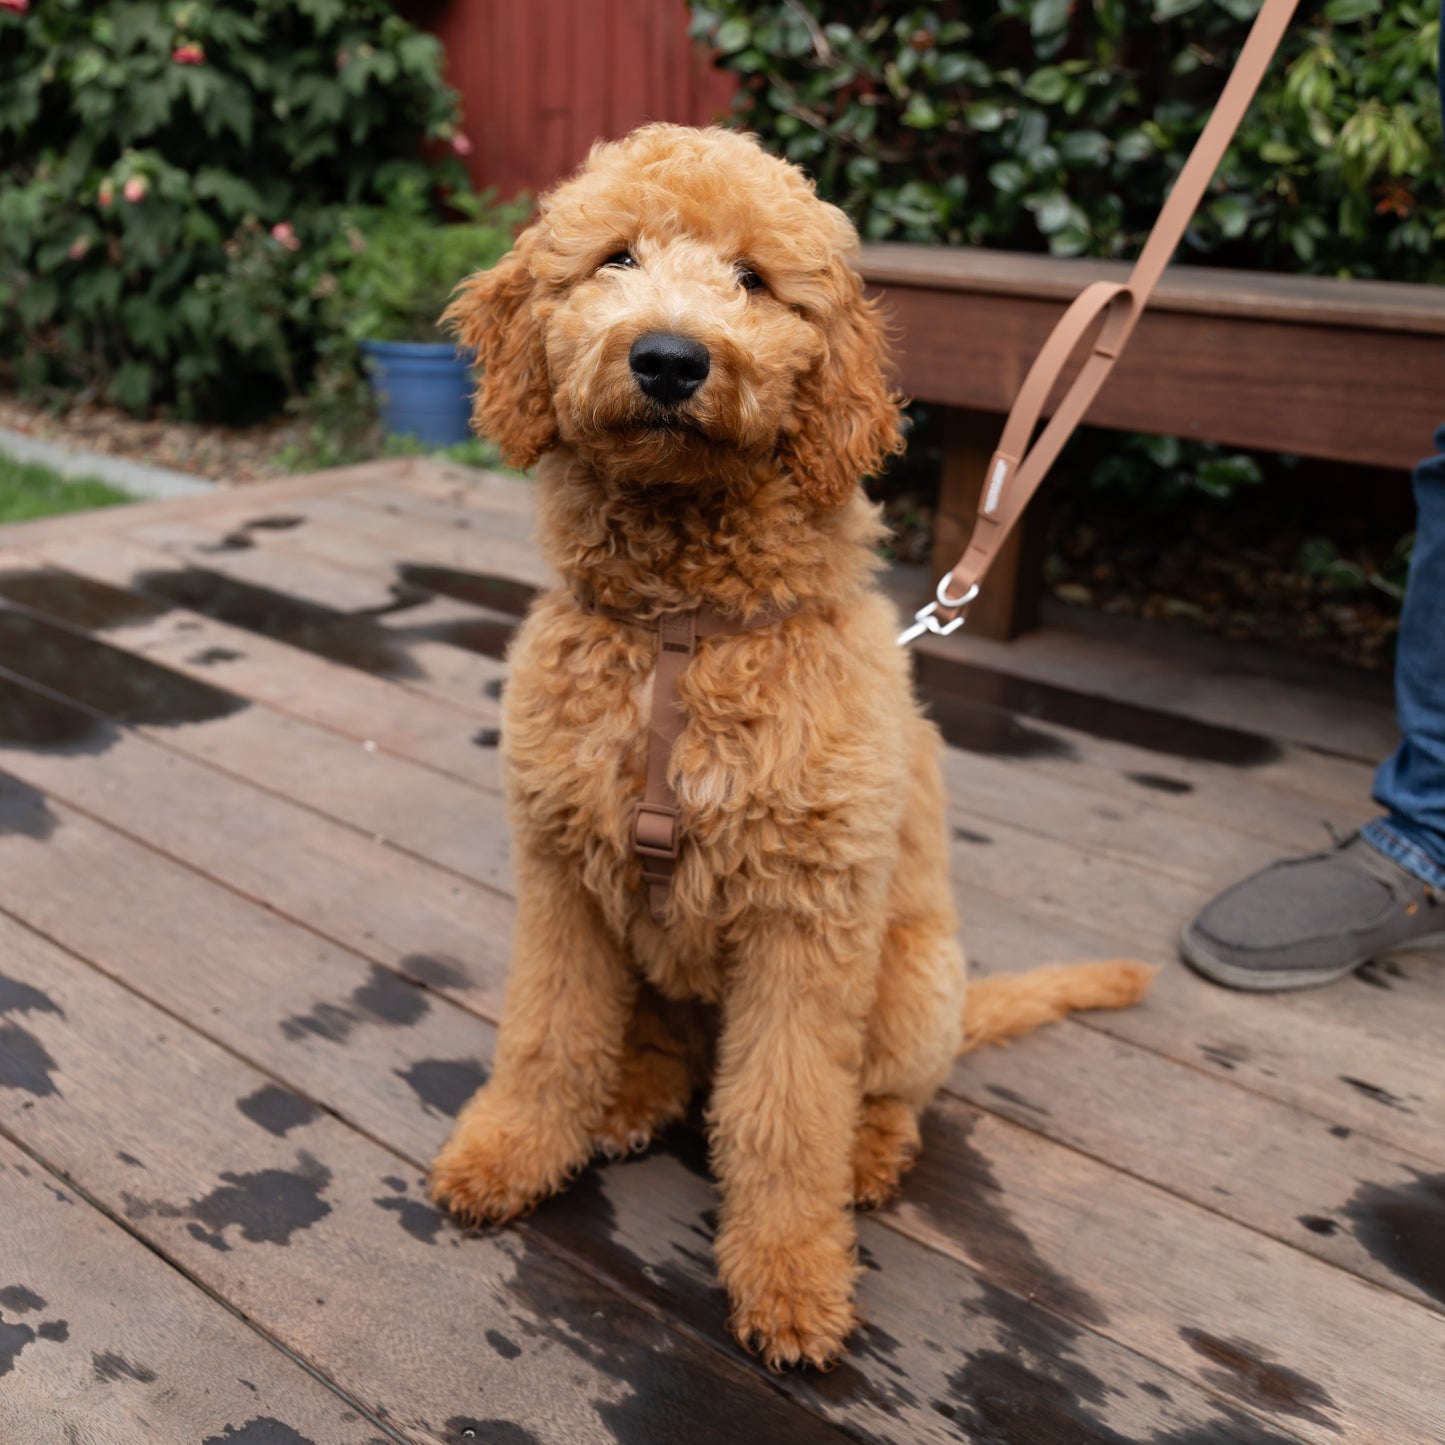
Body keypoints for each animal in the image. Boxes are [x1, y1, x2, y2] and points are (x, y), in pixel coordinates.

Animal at [427, 121, 1150, 1364]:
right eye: (616, 258)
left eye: (754, 280)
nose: (670, 359)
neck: (681, 628)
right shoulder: (563, 875)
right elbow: (545, 1035)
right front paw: (508, 1151)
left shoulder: (804, 921)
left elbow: (784, 1113)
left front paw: (791, 1279)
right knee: (664, 1045)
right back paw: (632, 1097)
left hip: (911, 980)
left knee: (885, 1093)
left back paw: (867, 1151)